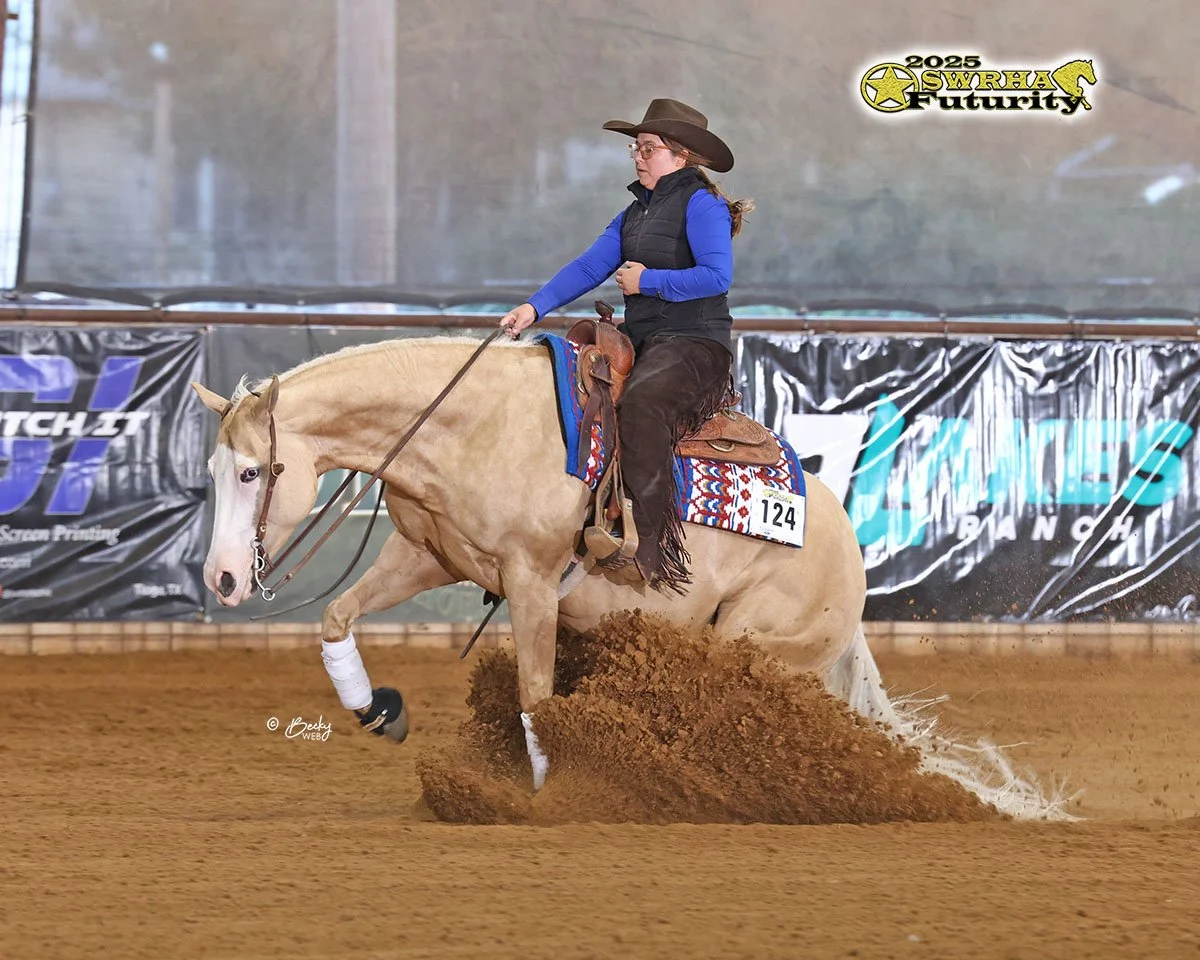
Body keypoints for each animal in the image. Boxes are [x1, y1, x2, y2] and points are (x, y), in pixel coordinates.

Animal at [191, 333, 1067, 819]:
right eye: (212, 471)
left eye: (253, 472)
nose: (223, 579)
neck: (472, 424)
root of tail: (849, 562)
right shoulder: (424, 554)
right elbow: (337, 617)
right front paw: (379, 711)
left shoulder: (532, 582)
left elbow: (535, 698)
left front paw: (553, 795)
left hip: (753, 643)